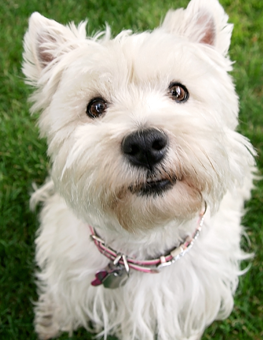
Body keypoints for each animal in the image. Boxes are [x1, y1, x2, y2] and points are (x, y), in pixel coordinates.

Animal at [22, 0, 256, 340]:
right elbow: (63, 296)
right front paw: (52, 319)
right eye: (95, 107)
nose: (145, 144)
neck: (145, 237)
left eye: (179, 91)